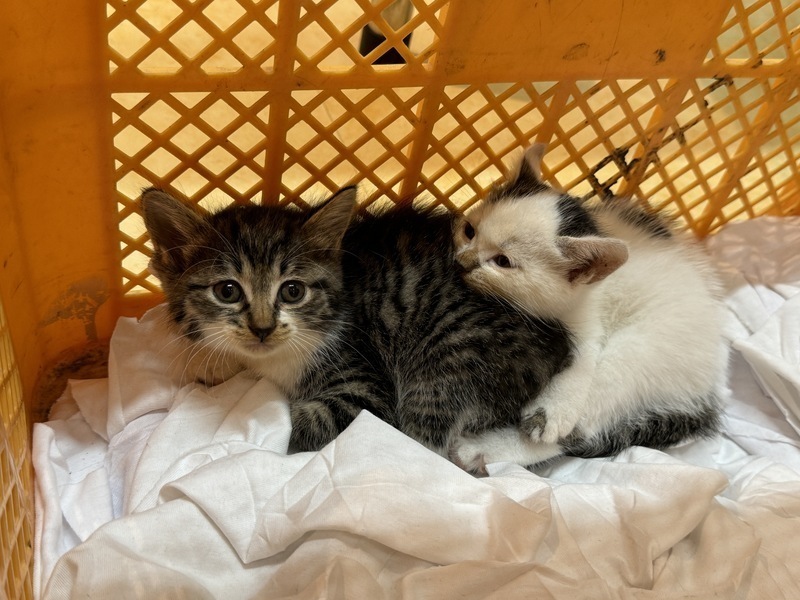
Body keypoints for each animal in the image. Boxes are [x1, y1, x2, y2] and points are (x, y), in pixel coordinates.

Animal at [142, 186, 573, 458]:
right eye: (227, 291)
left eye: (292, 291)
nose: (262, 328)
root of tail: (557, 339)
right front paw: (210, 369)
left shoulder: (365, 384)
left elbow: (311, 420)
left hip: (449, 360)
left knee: (421, 439)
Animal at [450, 144, 730, 473]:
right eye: (469, 231)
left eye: (503, 261)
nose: (462, 262)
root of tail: (712, 386)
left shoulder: (587, 317)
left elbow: (585, 355)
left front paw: (551, 413)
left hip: (641, 355)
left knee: (580, 430)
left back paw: (480, 450)